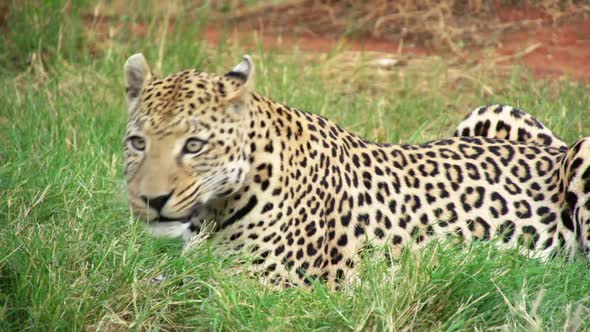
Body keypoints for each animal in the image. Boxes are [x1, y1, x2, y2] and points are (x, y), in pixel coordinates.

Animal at [123, 52, 590, 288]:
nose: (152, 200)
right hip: (487, 114)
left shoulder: (273, 284)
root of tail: (558, 148)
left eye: (194, 145)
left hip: (582, 153)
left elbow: (186, 287)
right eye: (138, 143)